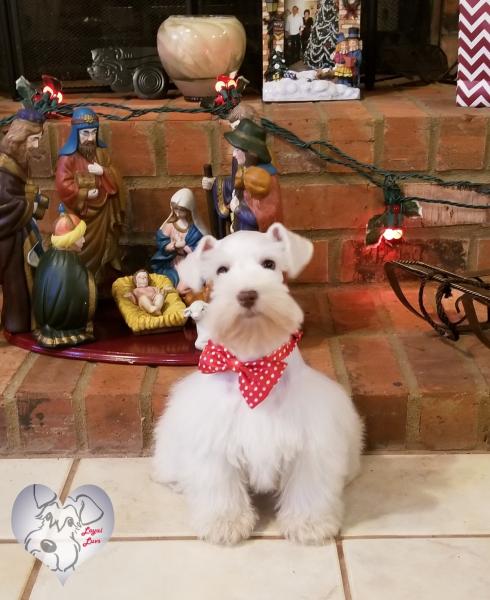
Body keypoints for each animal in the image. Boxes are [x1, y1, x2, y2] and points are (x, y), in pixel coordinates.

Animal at [153, 221, 364, 544]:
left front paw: (308, 523)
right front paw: (224, 522)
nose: (247, 294)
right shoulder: (214, 443)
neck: (253, 365)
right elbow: (220, 487)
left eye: (269, 264)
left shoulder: (311, 444)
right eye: (221, 270)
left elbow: (308, 488)